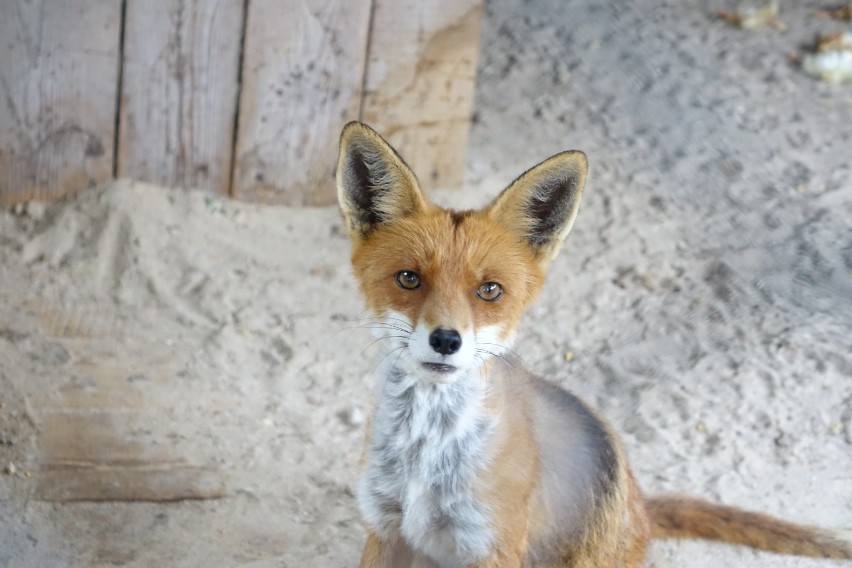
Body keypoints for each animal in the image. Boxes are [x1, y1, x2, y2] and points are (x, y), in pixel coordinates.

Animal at [334, 121, 852, 568]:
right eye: (409, 278)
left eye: (490, 290)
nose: (446, 339)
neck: (425, 460)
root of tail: (640, 505)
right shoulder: (386, 526)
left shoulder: (490, 544)